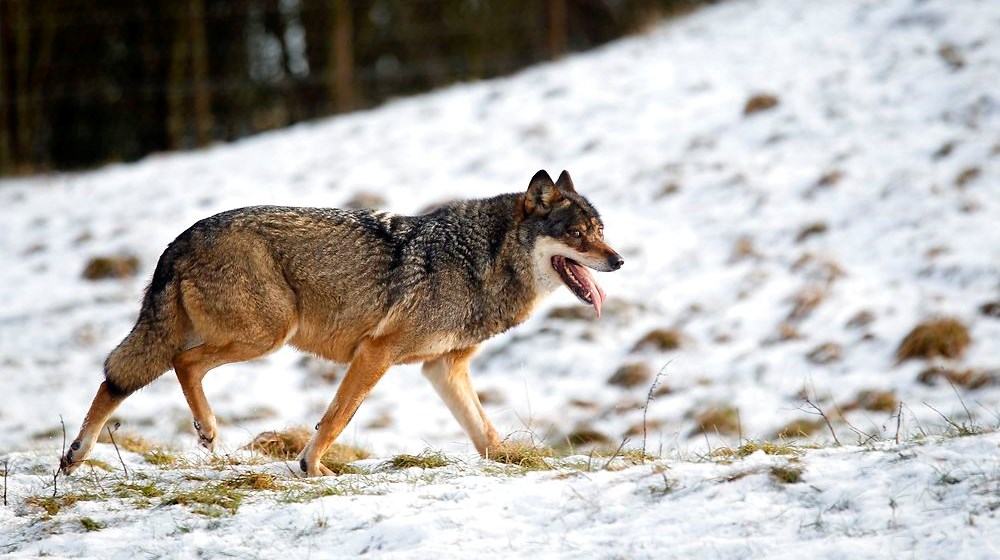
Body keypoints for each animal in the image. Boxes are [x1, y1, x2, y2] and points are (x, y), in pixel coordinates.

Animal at [58, 170, 620, 476]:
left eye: (600, 230)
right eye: (576, 234)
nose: (618, 260)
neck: (481, 261)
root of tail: (182, 237)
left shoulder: (442, 369)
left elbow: (485, 434)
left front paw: (513, 462)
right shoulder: (377, 352)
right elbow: (337, 416)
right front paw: (311, 467)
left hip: (215, 333)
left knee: (118, 377)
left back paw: (76, 456)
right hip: (266, 334)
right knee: (180, 364)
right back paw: (209, 432)